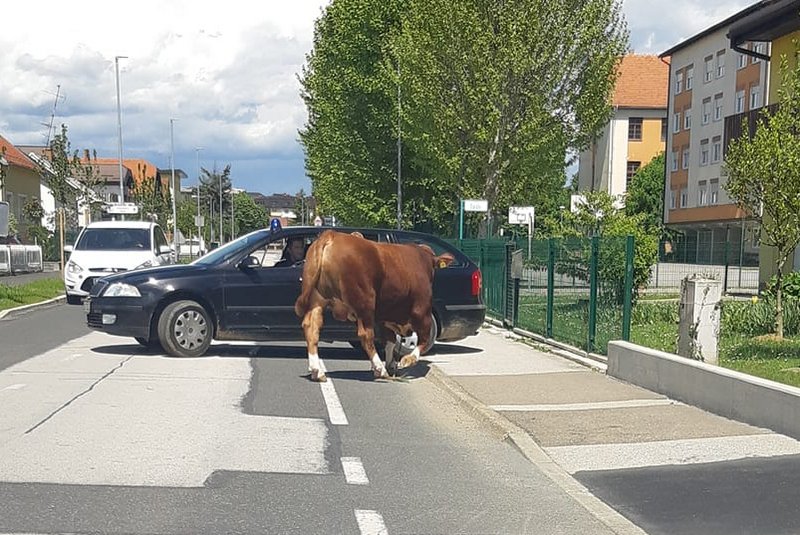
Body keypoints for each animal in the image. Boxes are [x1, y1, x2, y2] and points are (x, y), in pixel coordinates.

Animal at [296, 230, 454, 382]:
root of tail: (332, 235)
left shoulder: (386, 315)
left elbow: (391, 340)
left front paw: (391, 364)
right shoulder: (422, 310)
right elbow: (424, 339)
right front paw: (408, 359)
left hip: (317, 299)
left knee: (312, 328)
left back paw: (317, 371)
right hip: (365, 302)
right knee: (366, 335)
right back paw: (379, 369)